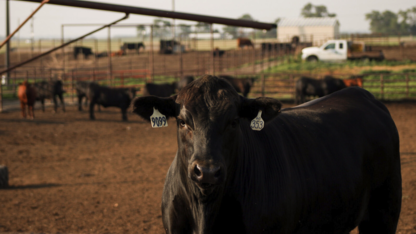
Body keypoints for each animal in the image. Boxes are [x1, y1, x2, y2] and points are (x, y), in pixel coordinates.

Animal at [131, 75, 404, 234]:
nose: (206, 171)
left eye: (233, 121)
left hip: (385, 212)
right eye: (182, 121)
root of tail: (362, 95)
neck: (204, 210)